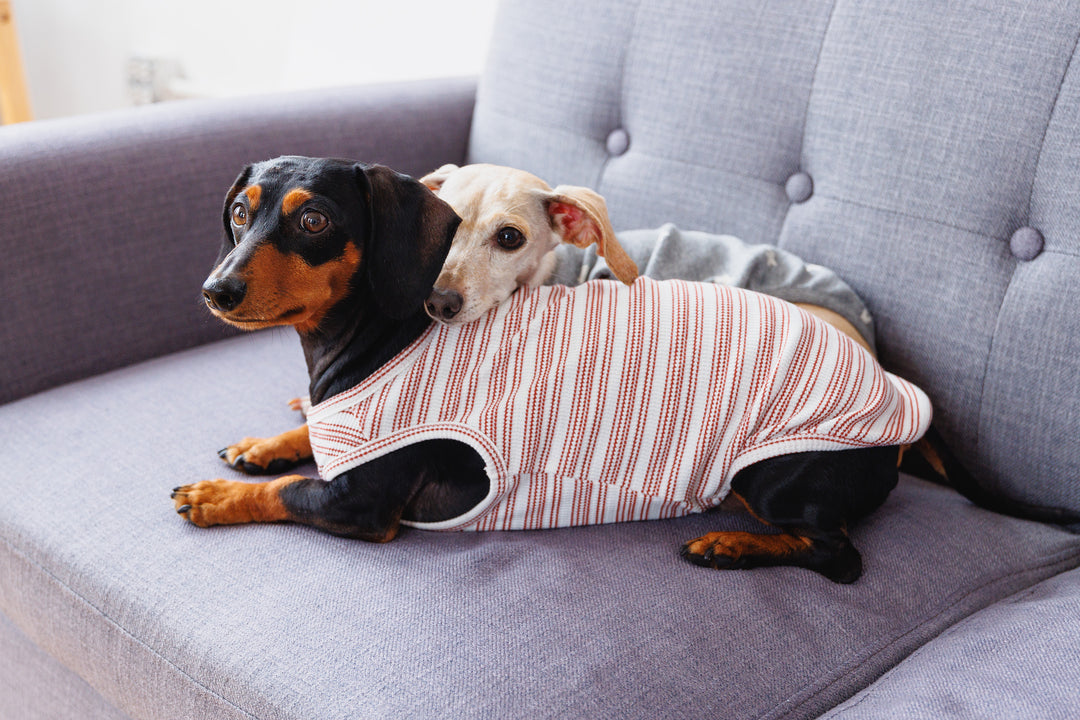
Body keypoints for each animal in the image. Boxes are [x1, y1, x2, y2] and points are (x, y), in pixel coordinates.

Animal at [174, 155, 928, 582]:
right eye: (238, 212)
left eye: (314, 223)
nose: (215, 290)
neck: (379, 333)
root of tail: (896, 397)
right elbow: (306, 441)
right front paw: (264, 443)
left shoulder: (360, 505)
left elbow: (289, 492)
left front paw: (213, 497)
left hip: (771, 476)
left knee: (840, 557)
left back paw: (730, 547)